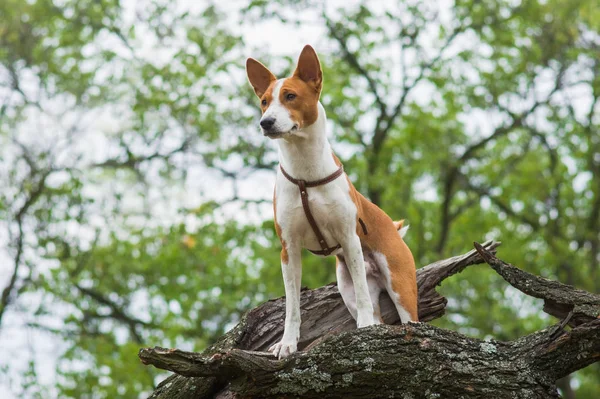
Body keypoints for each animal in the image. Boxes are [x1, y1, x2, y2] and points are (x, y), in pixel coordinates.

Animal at [246, 44, 420, 360]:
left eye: (290, 96)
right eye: (264, 102)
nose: (266, 122)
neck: (305, 171)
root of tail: (392, 225)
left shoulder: (349, 239)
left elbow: (364, 300)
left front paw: (362, 330)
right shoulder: (289, 250)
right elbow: (292, 308)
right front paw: (287, 343)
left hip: (399, 283)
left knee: (401, 315)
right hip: (345, 286)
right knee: (374, 312)